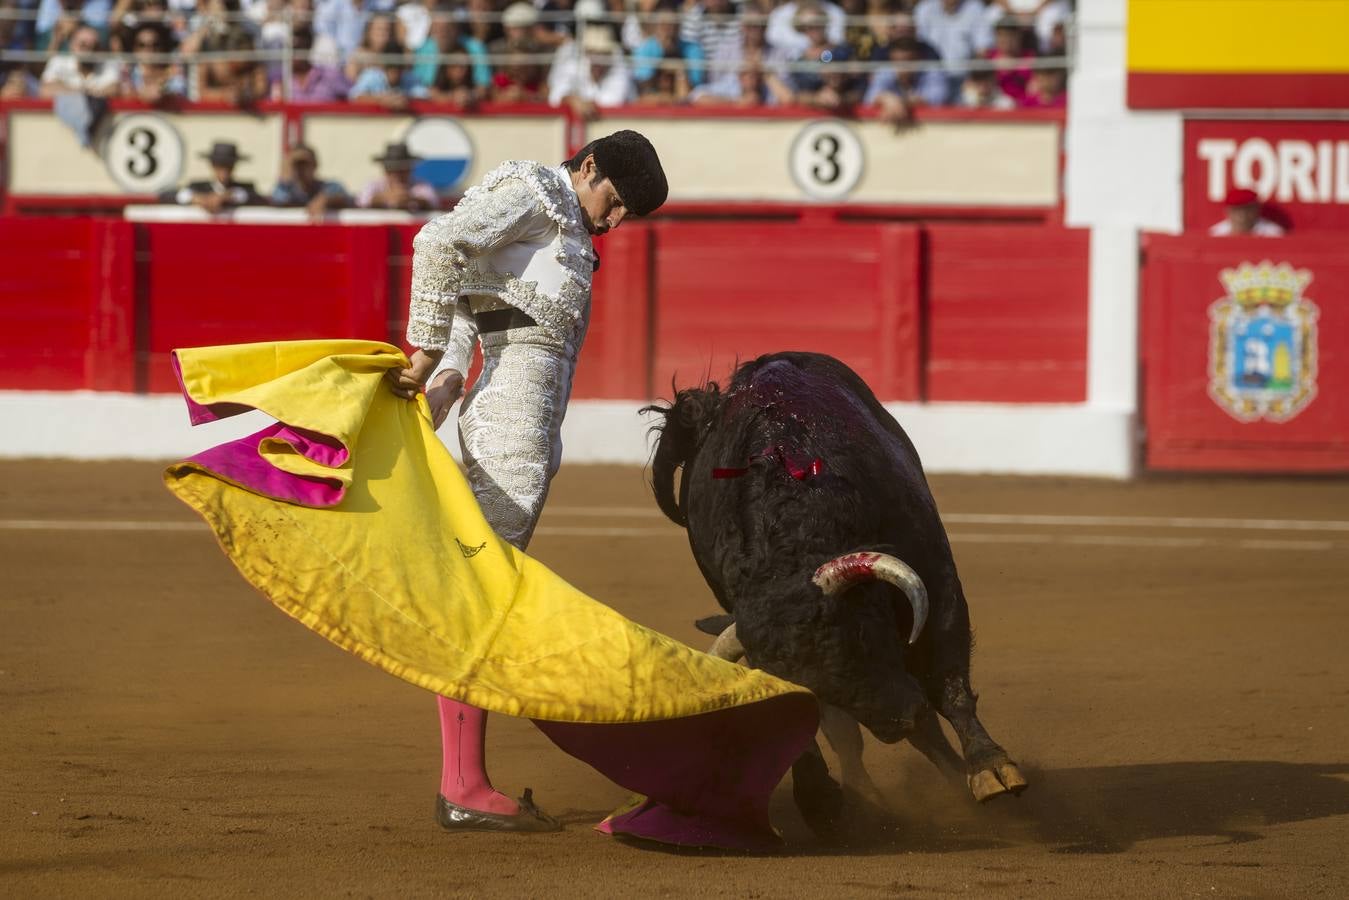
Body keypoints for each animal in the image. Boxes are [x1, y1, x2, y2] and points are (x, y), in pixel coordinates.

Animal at [647, 350, 1025, 831]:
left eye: (861, 639)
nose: (898, 721)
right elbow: (820, 722)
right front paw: (820, 799)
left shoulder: (938, 582)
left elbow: (948, 680)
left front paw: (991, 769)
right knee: (854, 736)